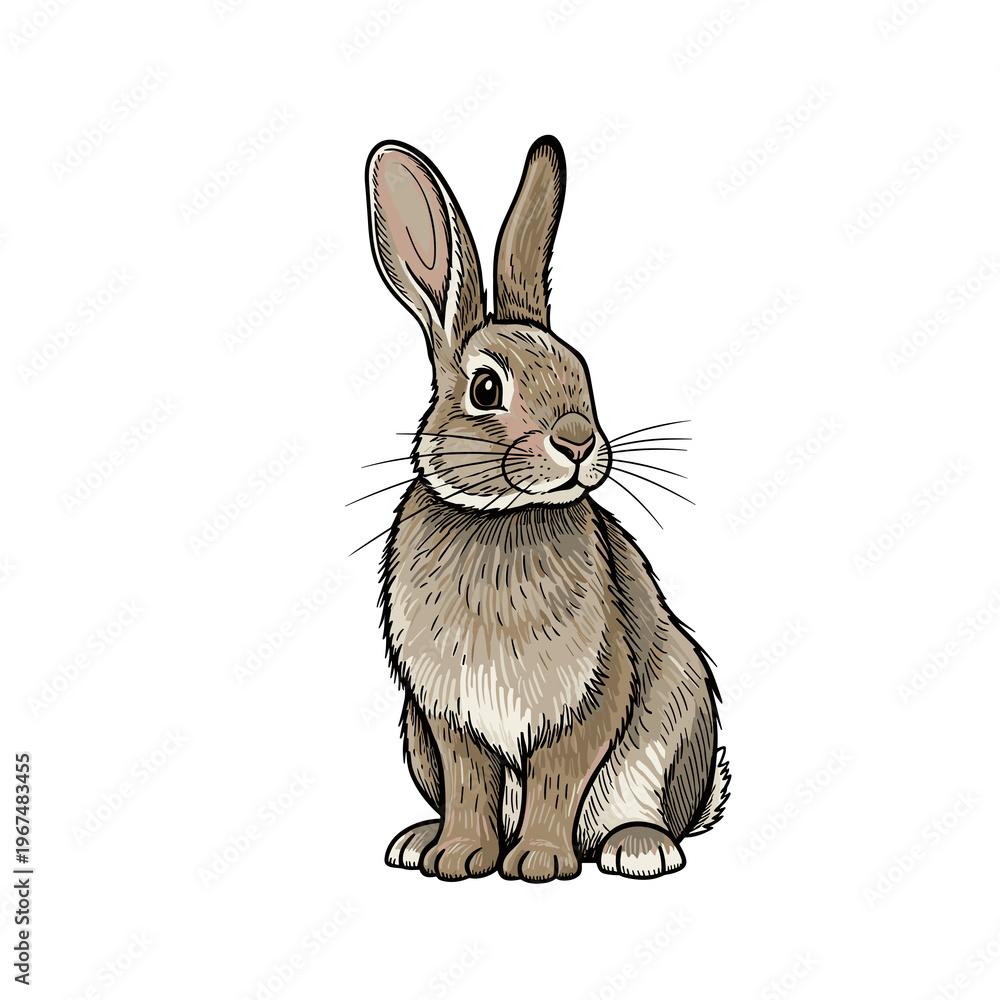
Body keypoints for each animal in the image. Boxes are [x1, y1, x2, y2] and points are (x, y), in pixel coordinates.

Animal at [364, 135, 729, 881]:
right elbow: (470, 787)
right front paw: (458, 858)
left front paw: (538, 862)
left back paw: (638, 849)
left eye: (581, 372)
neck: (500, 517)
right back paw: (417, 840)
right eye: (484, 388)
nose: (579, 441)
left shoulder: (591, 697)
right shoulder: (448, 719)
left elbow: (558, 782)